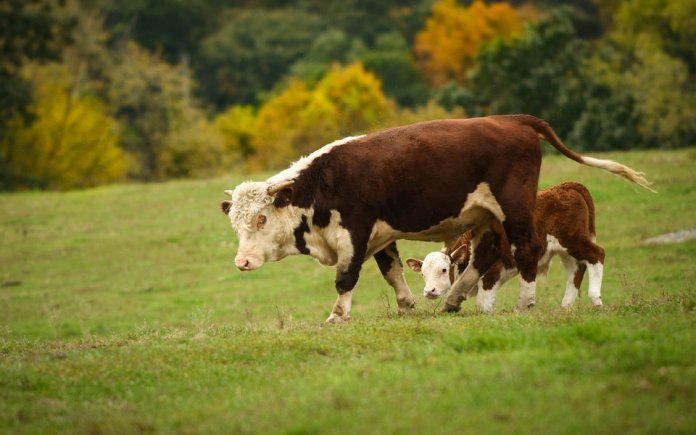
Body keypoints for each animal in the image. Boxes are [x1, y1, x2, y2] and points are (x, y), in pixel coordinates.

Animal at [406, 182, 605, 311]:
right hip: (564, 250)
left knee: (597, 255)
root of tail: (566, 187)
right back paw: (565, 306)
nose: (429, 291)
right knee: (576, 270)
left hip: (573, 241)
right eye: (422, 273)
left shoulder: (492, 273)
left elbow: (483, 305)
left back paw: (595, 299)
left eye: (444, 270)